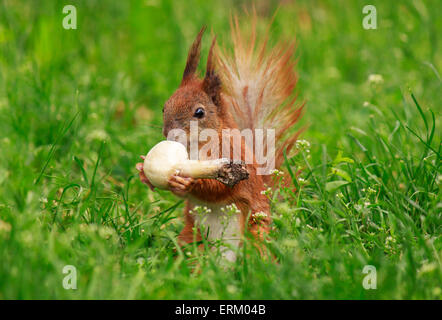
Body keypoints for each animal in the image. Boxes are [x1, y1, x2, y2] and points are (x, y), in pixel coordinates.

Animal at [137, 16, 304, 260]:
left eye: (199, 112)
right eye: (164, 107)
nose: (169, 133)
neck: (196, 146)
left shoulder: (231, 152)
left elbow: (222, 189)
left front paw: (188, 183)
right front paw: (142, 170)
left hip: (255, 230)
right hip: (191, 235)